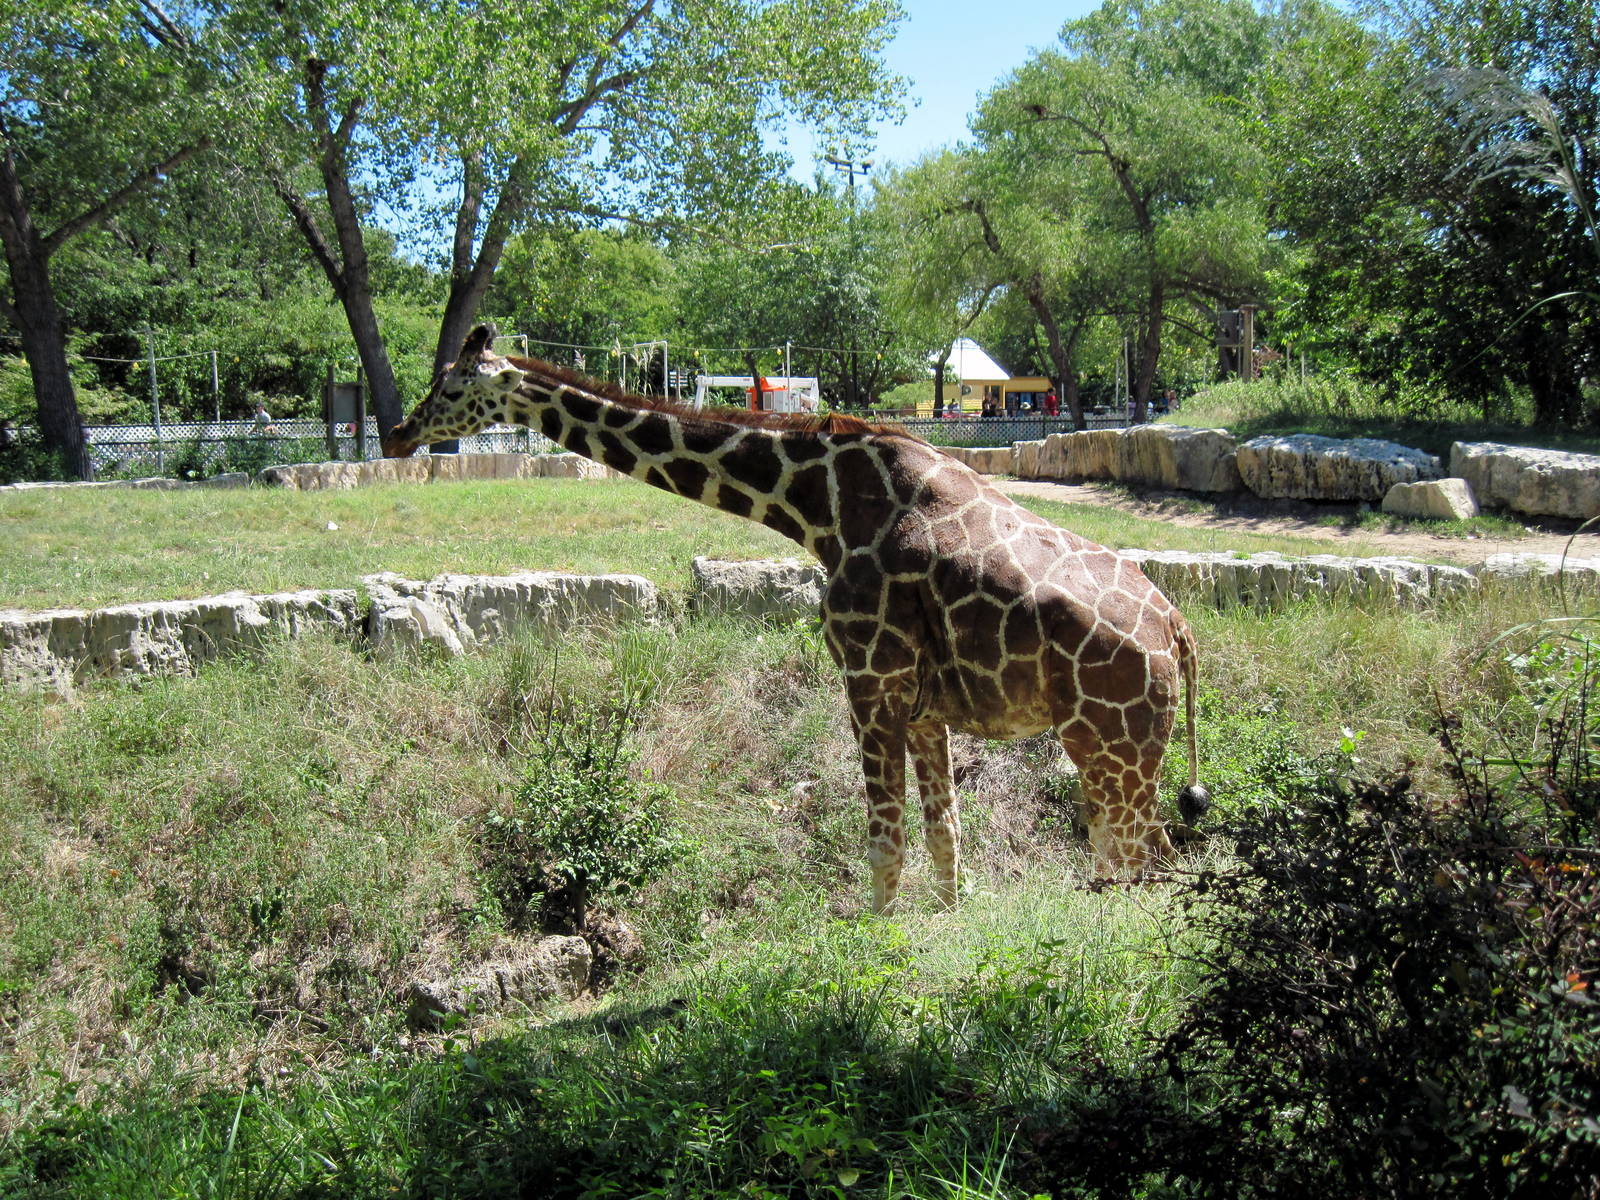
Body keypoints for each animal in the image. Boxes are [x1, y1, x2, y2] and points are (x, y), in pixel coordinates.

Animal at [385, 325, 1209, 914]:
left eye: (452, 384)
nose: (396, 433)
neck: (818, 508)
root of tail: (1179, 633)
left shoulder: (868, 679)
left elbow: (884, 844)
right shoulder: (923, 703)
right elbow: (945, 838)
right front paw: (944, 928)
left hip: (1111, 746)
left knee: (1143, 863)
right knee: (1143, 859)